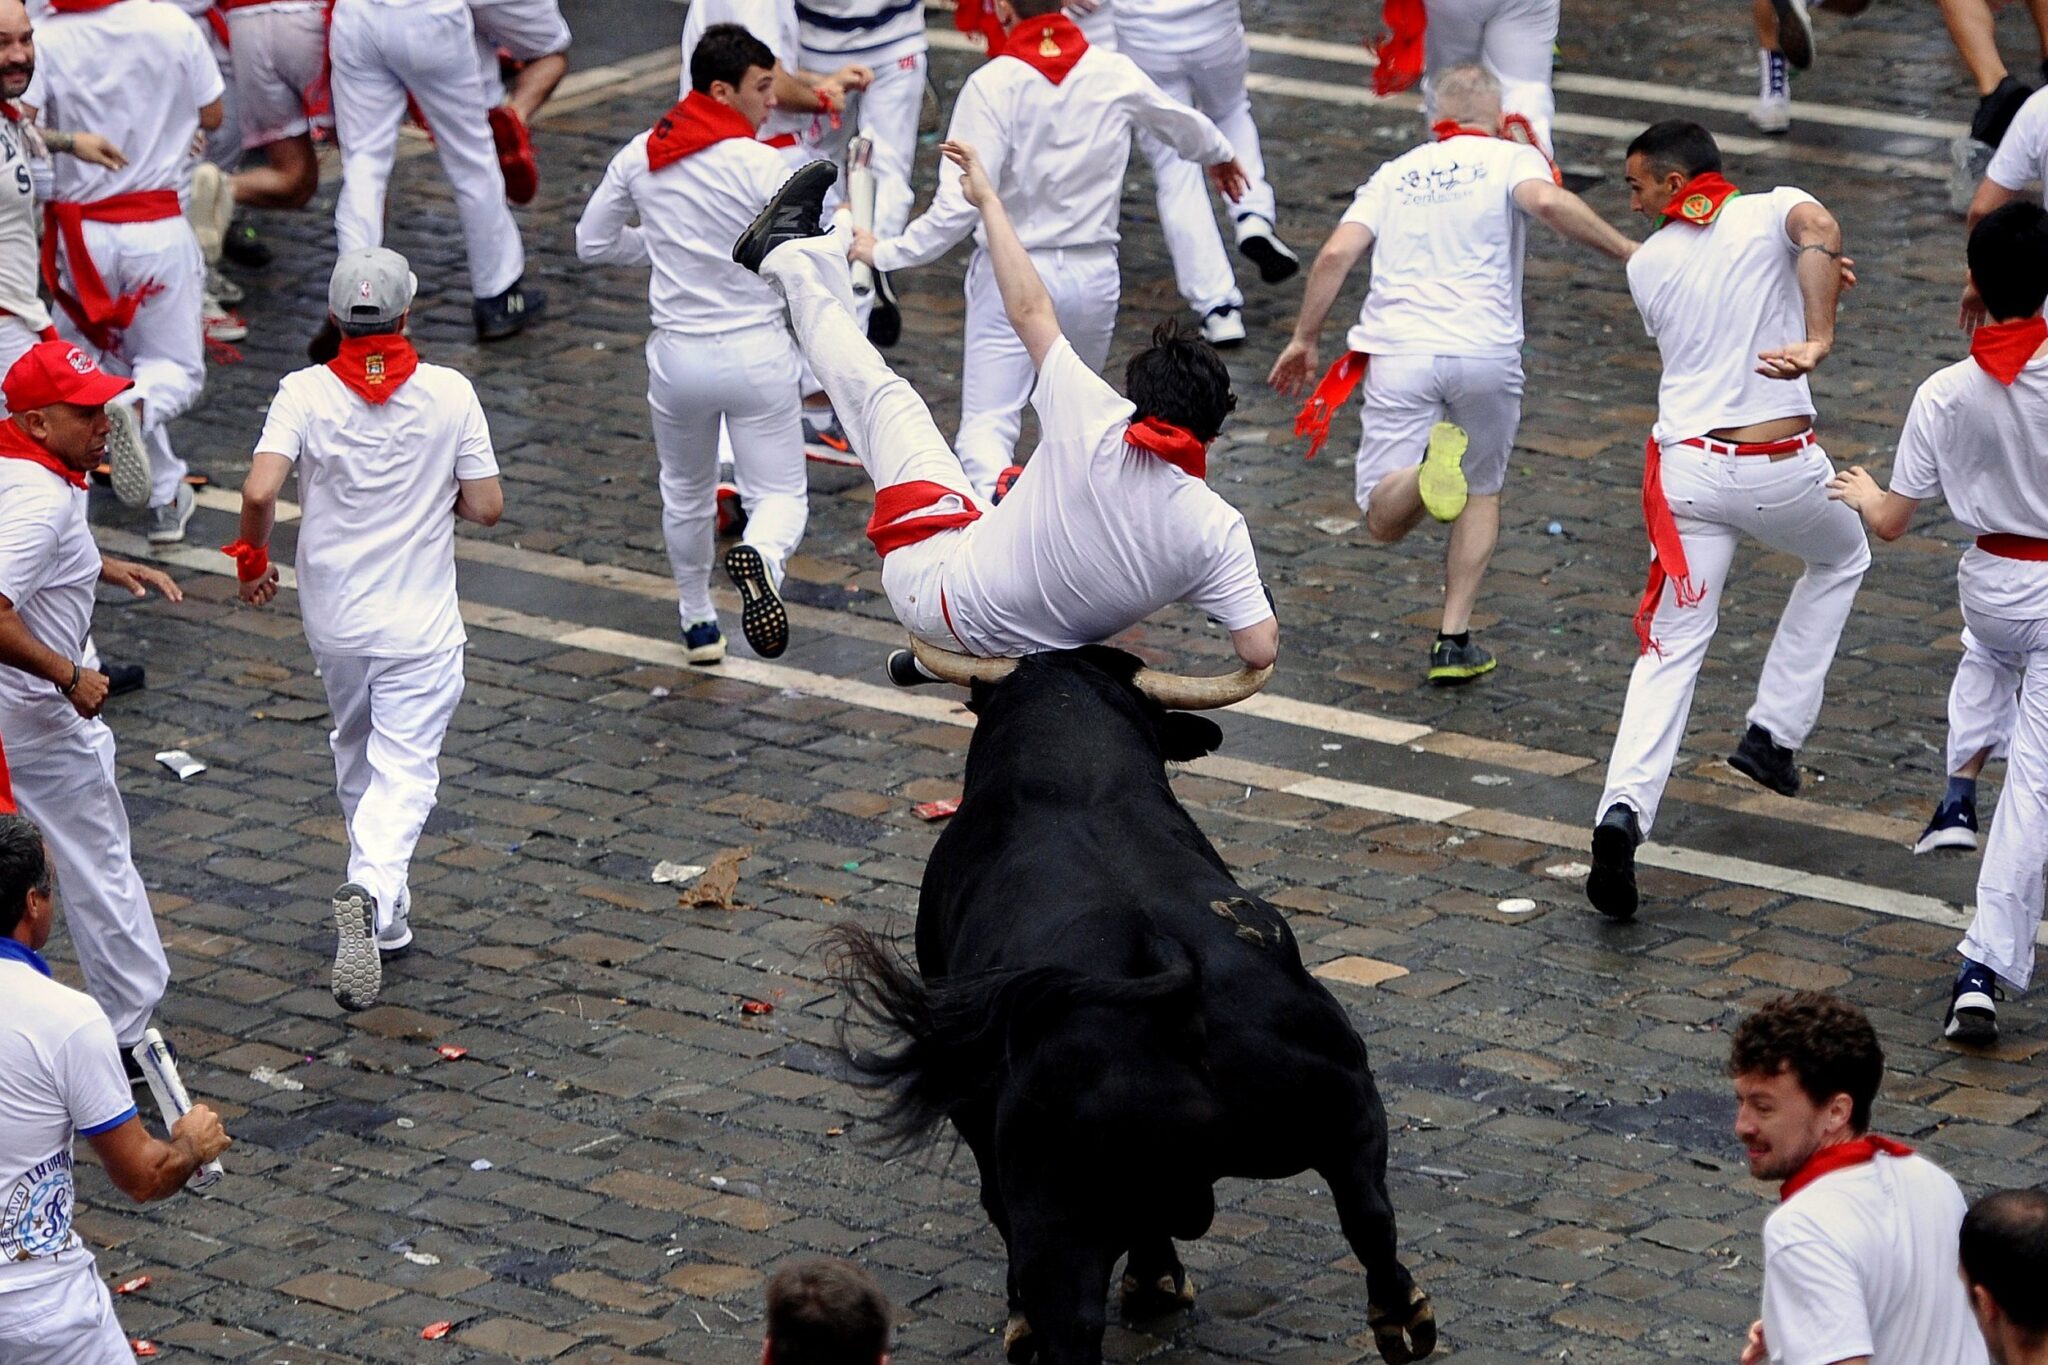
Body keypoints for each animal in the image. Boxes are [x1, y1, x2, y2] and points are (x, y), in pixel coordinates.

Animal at [823, 646, 1433, 1358]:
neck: (1079, 782)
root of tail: (1169, 964)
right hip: (1348, 1102)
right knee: (1370, 1216)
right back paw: (1402, 1318)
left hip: (1054, 1209)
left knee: (1068, 1317)